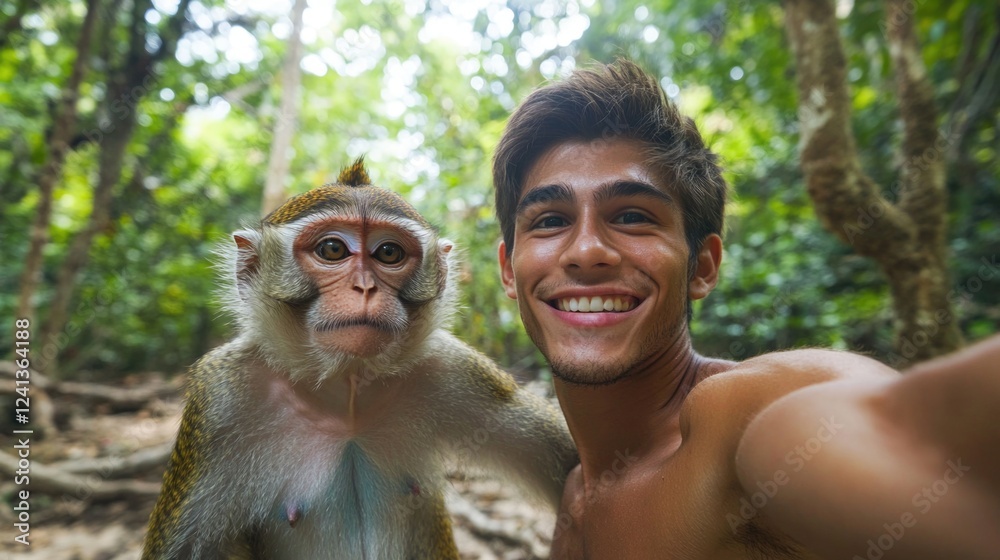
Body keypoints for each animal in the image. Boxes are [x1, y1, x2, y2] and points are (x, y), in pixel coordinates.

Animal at [141, 158, 578, 559]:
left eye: (388, 253)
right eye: (332, 249)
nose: (365, 287)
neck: (347, 390)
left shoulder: (456, 371)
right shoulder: (220, 400)